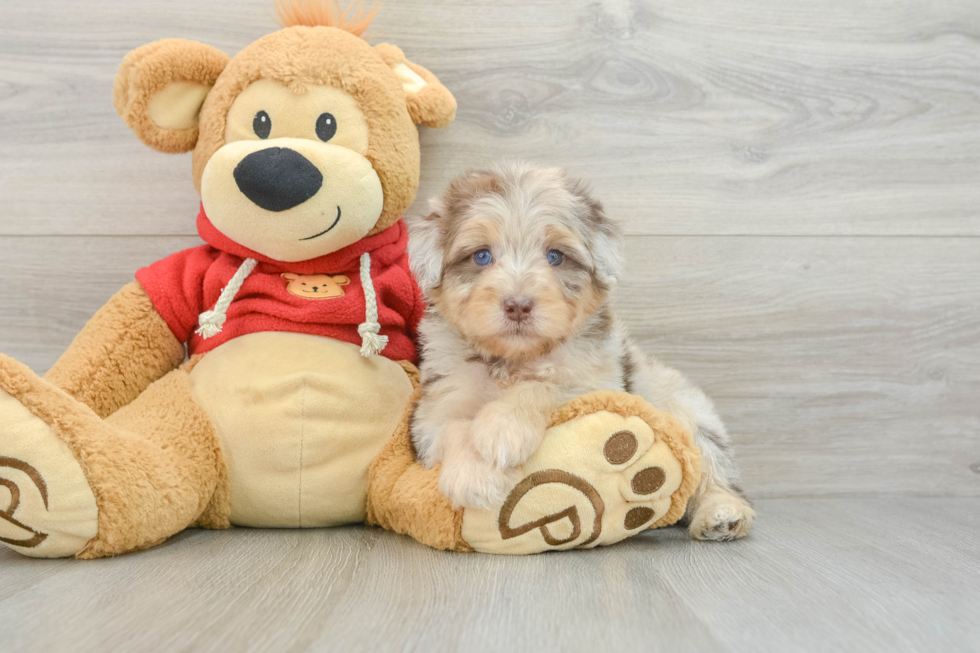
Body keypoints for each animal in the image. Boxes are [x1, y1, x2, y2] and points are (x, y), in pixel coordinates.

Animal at [404, 162, 752, 540]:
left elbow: (548, 384)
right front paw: (473, 474)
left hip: (687, 411)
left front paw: (503, 428)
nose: (518, 305)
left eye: (555, 256)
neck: (514, 359)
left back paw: (722, 514)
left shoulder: (598, 384)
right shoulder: (436, 406)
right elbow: (451, 428)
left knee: (715, 470)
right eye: (481, 255)